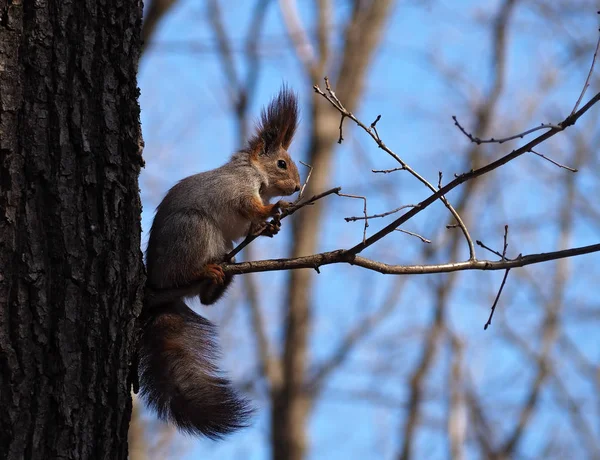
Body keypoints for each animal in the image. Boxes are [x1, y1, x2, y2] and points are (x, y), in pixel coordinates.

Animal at [138, 86, 302, 438]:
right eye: (281, 163)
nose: (297, 187)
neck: (256, 175)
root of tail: (160, 289)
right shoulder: (237, 190)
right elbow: (249, 206)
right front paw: (273, 209)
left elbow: (251, 224)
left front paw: (268, 227)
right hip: (195, 232)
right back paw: (207, 271)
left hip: (220, 244)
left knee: (205, 299)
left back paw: (223, 278)